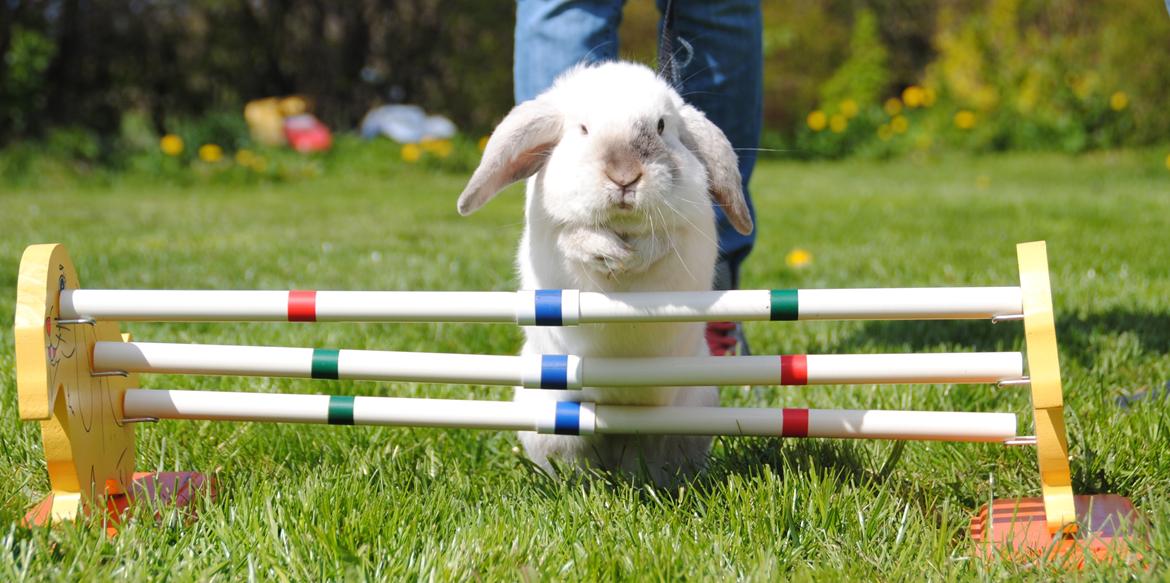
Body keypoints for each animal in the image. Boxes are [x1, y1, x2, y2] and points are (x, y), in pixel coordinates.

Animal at [453, 61, 748, 484]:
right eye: (583, 129)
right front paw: (611, 254)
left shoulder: (685, 234)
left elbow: (661, 243)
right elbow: (577, 239)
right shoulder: (558, 235)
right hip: (552, 425)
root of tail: (620, 430)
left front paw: (632, 257)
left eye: (661, 126)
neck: (620, 225)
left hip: (693, 415)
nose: (624, 175)